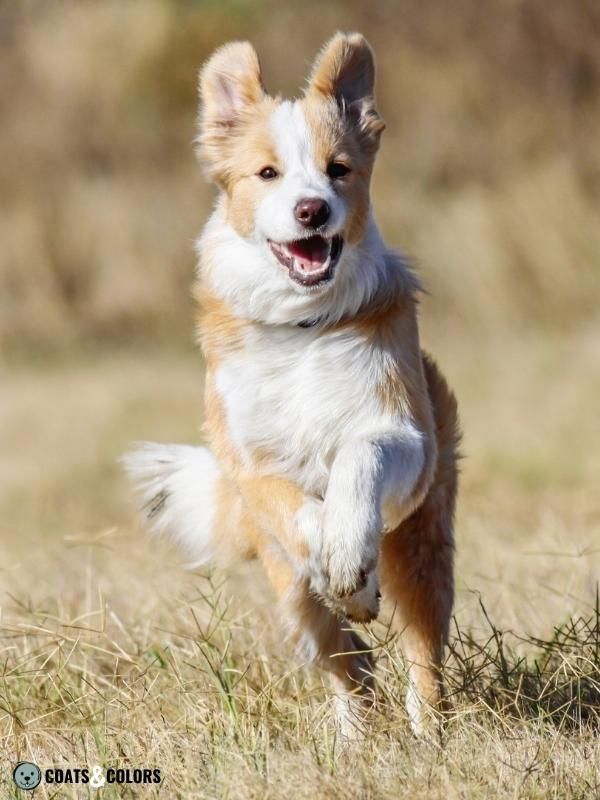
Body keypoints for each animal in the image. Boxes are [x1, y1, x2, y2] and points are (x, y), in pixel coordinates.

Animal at [122, 32, 460, 736]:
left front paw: (349, 555)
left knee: (421, 655)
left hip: (422, 546)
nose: (312, 210)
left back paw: (429, 734)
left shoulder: (404, 434)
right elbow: (298, 512)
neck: (301, 326)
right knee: (347, 665)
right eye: (267, 174)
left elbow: (361, 455)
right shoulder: (250, 461)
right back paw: (355, 737)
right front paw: (343, 569)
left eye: (339, 169)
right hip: (292, 600)